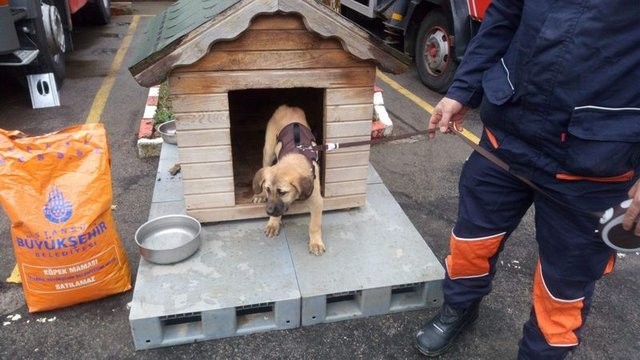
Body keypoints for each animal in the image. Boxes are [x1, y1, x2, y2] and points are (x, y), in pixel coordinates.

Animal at [252, 105, 328, 256]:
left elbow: (314, 225)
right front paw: (273, 223)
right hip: (268, 150)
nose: (268, 212)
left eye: (282, 192)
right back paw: (260, 195)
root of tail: (288, 106)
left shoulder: (317, 201)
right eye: (268, 189)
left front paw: (315, 243)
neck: (296, 156)